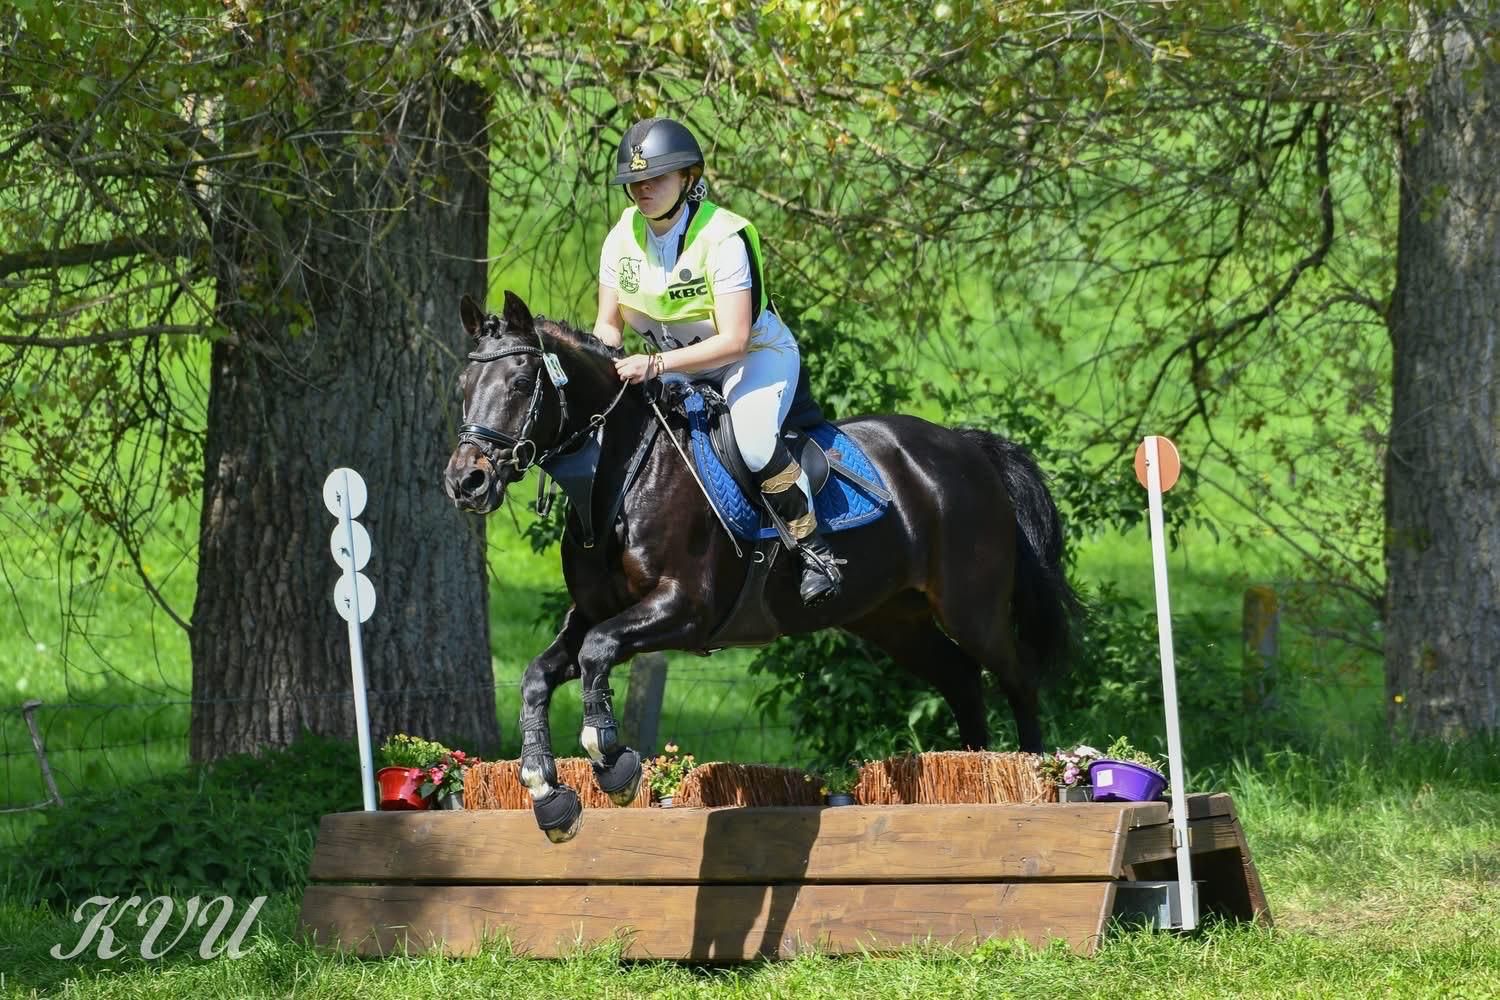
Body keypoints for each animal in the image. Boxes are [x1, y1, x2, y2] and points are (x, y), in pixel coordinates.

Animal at [443, 291, 1078, 842]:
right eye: (463, 387)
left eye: (521, 383)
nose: (466, 481)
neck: (617, 479)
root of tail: (968, 447)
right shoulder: (594, 613)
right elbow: (537, 675)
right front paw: (546, 792)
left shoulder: (685, 609)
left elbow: (599, 652)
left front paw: (613, 764)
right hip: (892, 619)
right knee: (961, 679)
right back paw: (977, 774)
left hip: (972, 607)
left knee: (1016, 677)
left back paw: (1036, 777)